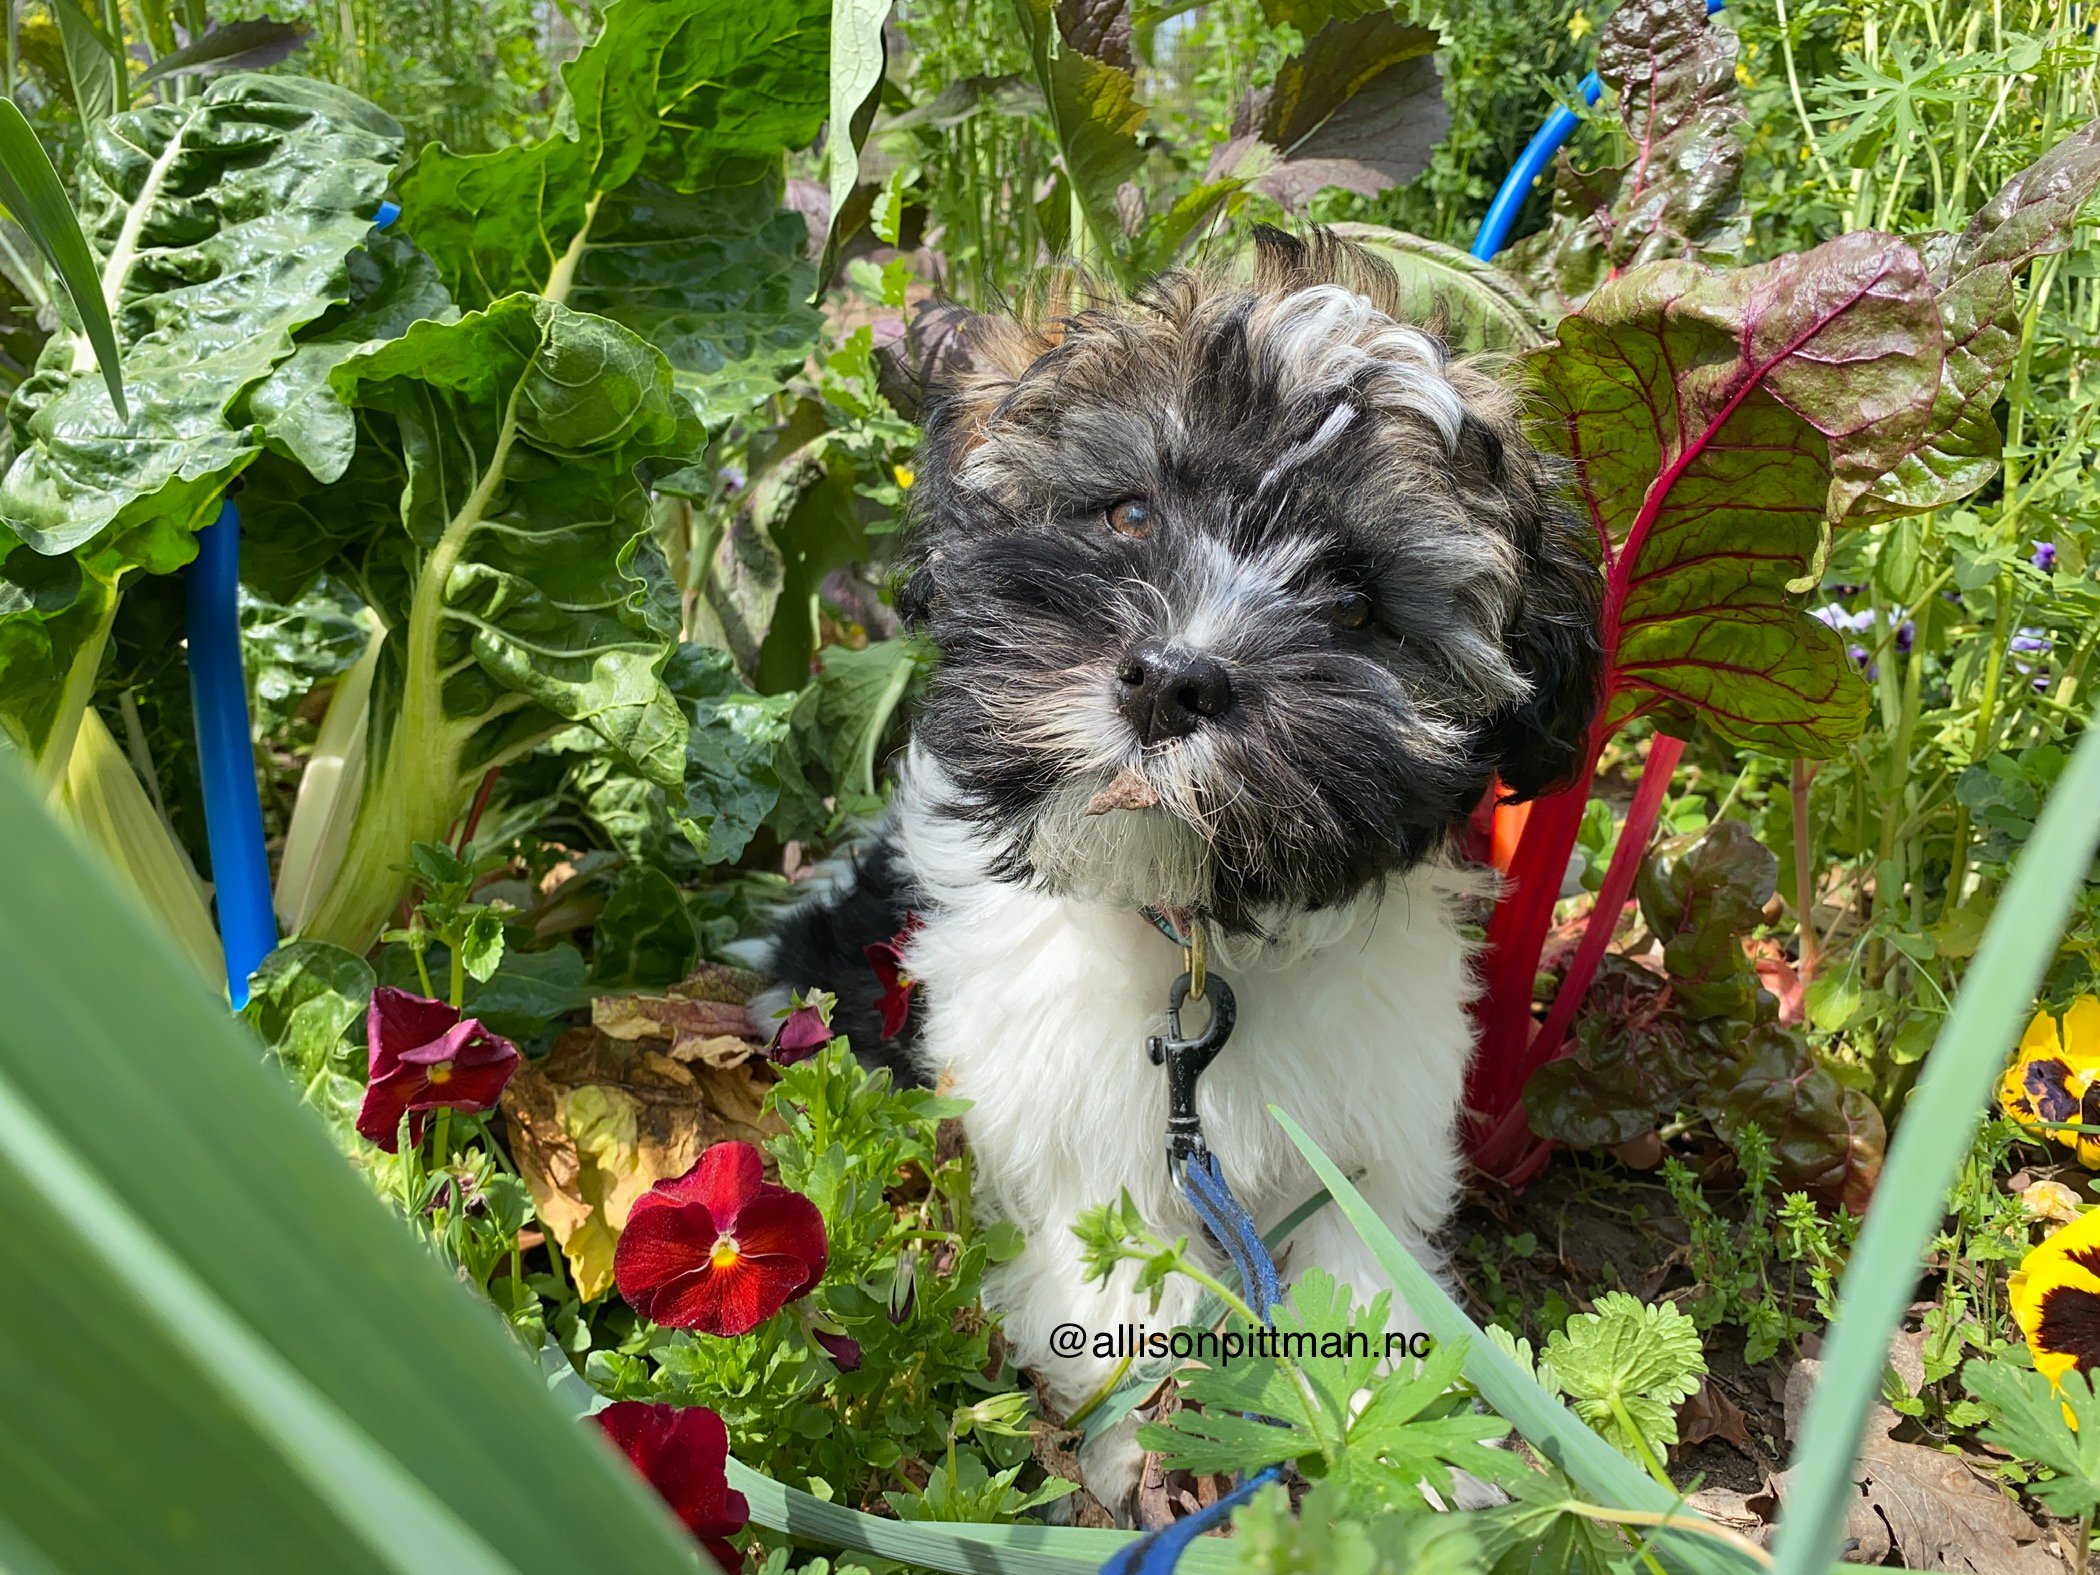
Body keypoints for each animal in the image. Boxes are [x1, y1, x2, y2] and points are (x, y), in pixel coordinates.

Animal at [764, 227, 1595, 1511]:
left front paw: (1398, 1465)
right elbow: (1122, 1289)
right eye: (1125, 513)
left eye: (1355, 600)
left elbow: (1365, 1281)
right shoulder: (1067, 1129)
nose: (1172, 679)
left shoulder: (1372, 1123)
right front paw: (1162, 1465)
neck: (1197, 925)